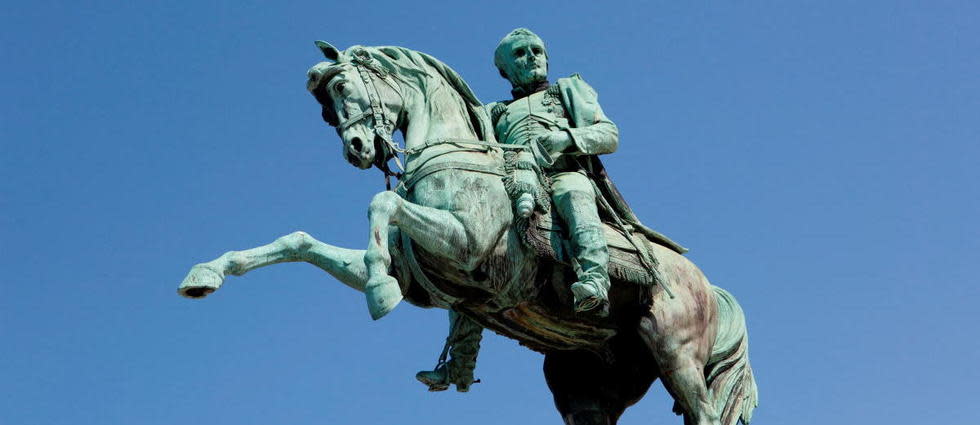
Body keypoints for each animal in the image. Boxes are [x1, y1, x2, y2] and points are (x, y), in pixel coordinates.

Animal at [178, 42, 756, 424]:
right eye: (324, 108)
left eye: (342, 87)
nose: (359, 149)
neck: (453, 157)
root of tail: (706, 285)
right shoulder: (418, 273)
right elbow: (298, 241)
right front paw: (206, 273)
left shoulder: (467, 245)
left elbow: (382, 201)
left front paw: (377, 292)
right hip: (587, 387)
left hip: (676, 354)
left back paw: (591, 285)